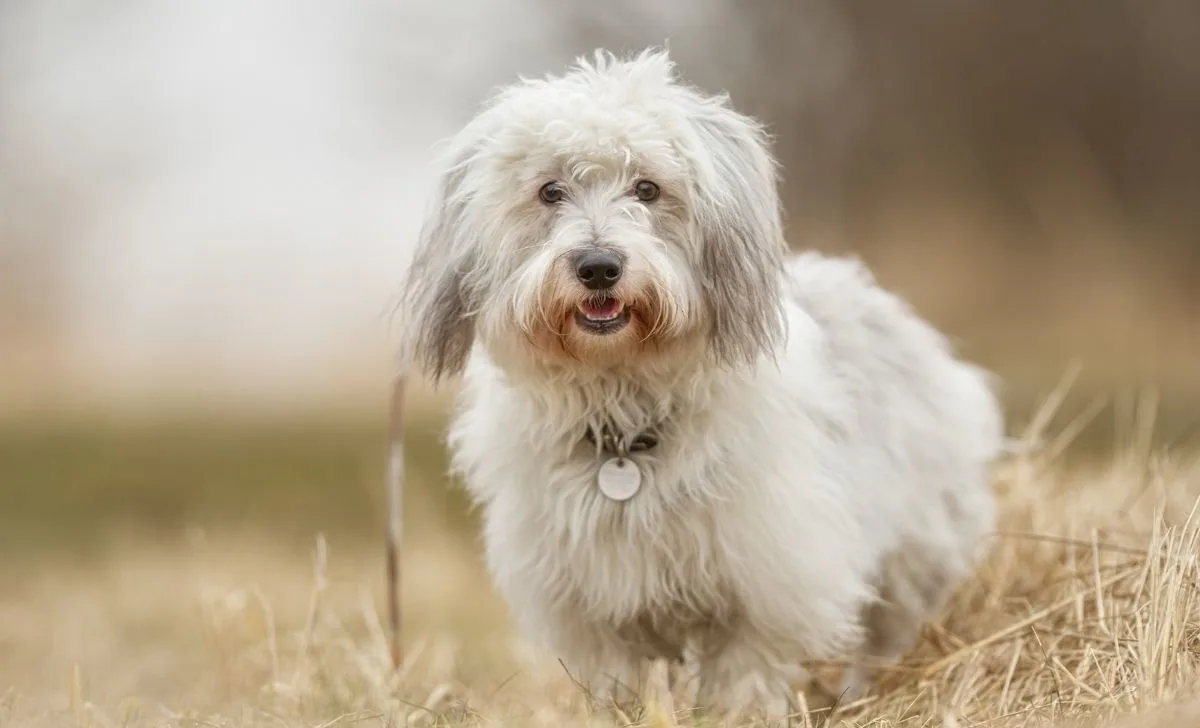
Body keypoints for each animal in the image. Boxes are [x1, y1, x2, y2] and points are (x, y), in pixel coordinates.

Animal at [396, 48, 1003, 719]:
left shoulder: (766, 584)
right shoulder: (592, 609)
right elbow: (617, 685)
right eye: (550, 191)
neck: (625, 421)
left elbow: (745, 679)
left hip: (914, 560)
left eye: (647, 188)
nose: (598, 266)